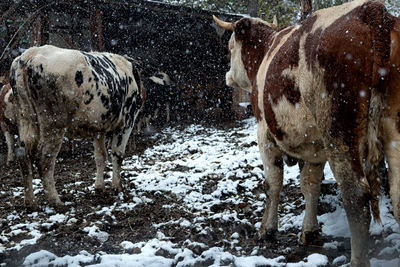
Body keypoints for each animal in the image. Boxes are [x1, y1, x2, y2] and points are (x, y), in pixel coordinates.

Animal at [9, 45, 145, 209]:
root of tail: (30, 55)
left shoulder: (99, 128)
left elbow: (100, 156)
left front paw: (99, 187)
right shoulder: (126, 122)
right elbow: (117, 154)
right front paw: (117, 187)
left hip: (25, 118)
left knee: (24, 155)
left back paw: (30, 202)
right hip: (53, 124)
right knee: (44, 159)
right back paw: (56, 200)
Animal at [214, 1, 396, 266]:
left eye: (229, 49)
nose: (228, 77)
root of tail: (370, 10)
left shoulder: (264, 134)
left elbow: (272, 183)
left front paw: (267, 230)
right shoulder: (314, 147)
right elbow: (310, 185)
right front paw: (309, 232)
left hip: (339, 136)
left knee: (356, 196)